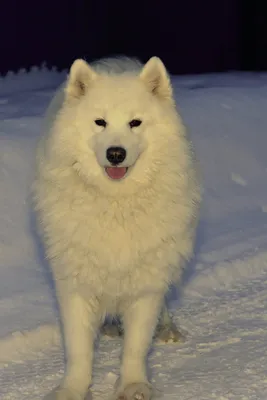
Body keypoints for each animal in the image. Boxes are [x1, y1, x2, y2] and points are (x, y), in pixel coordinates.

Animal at [33, 55, 201, 400]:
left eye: (135, 123)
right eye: (100, 122)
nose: (115, 153)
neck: (116, 201)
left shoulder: (146, 281)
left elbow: (136, 345)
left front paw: (134, 385)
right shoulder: (75, 281)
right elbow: (79, 348)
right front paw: (72, 389)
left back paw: (167, 328)